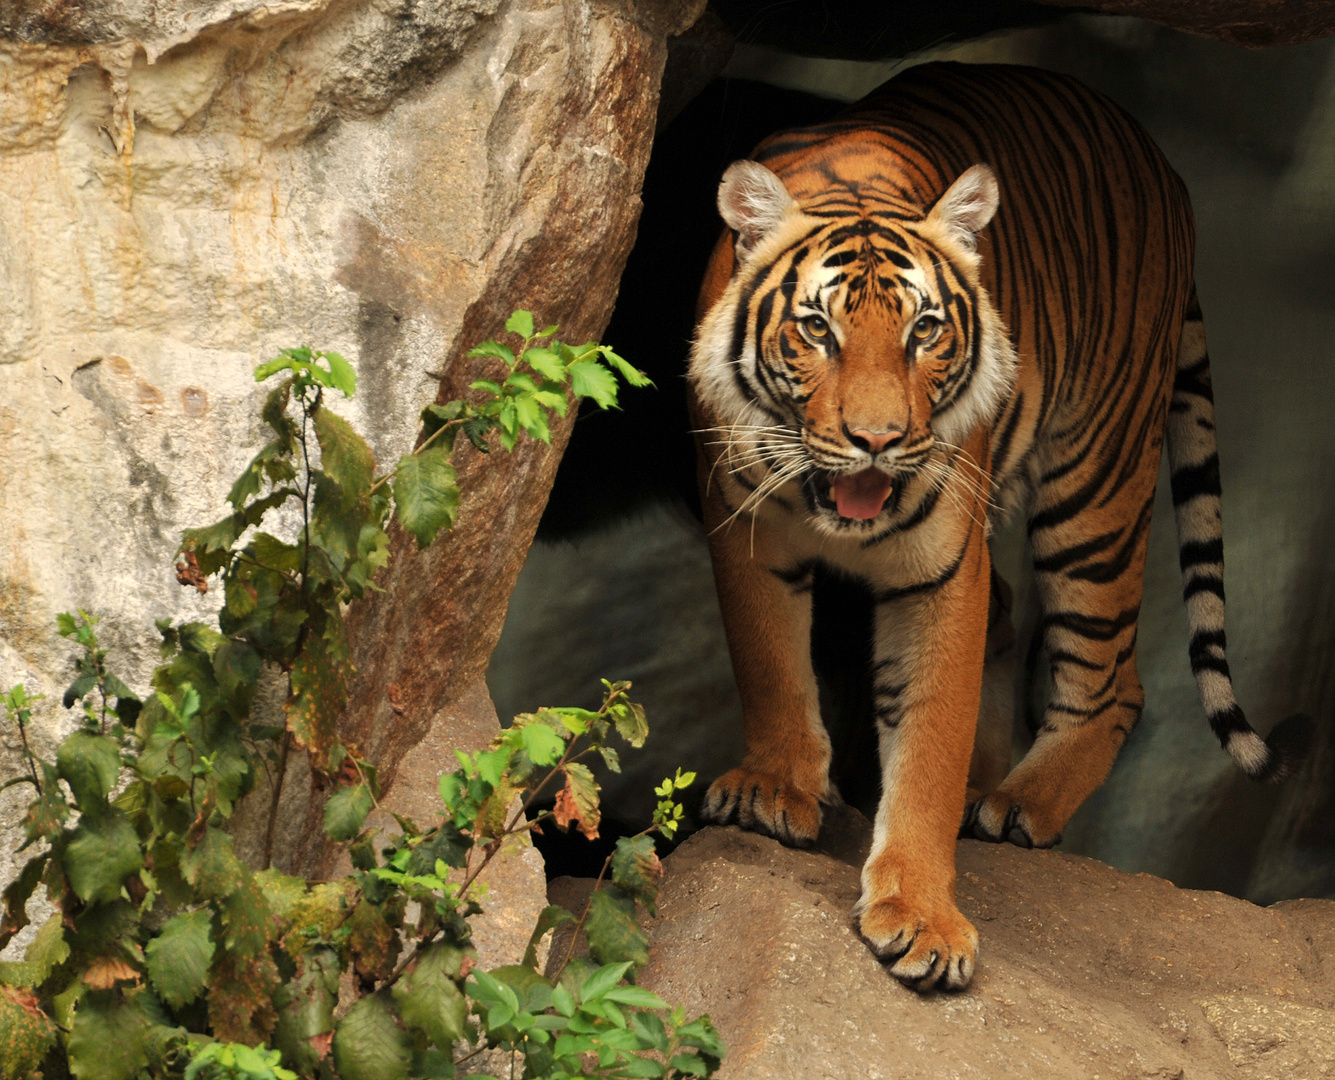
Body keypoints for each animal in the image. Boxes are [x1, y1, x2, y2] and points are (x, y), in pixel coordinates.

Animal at [688, 56, 1302, 987]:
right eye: (817, 328)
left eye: (924, 331)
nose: (877, 442)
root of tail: (1162, 165)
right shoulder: (742, 522)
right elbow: (770, 664)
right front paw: (776, 787)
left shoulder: (944, 565)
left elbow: (930, 738)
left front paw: (921, 917)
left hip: (1097, 482)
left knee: (1111, 679)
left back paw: (1018, 803)